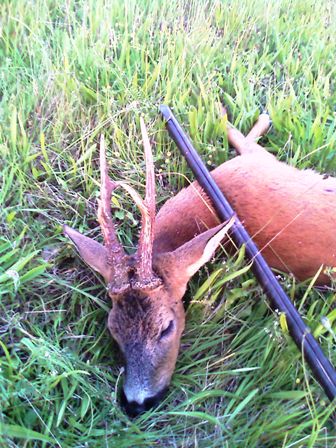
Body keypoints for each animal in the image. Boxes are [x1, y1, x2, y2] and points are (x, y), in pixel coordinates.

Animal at [64, 109, 336, 416]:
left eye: (167, 328)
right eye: (113, 329)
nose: (137, 403)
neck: (212, 198)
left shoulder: (257, 162)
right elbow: (242, 137)